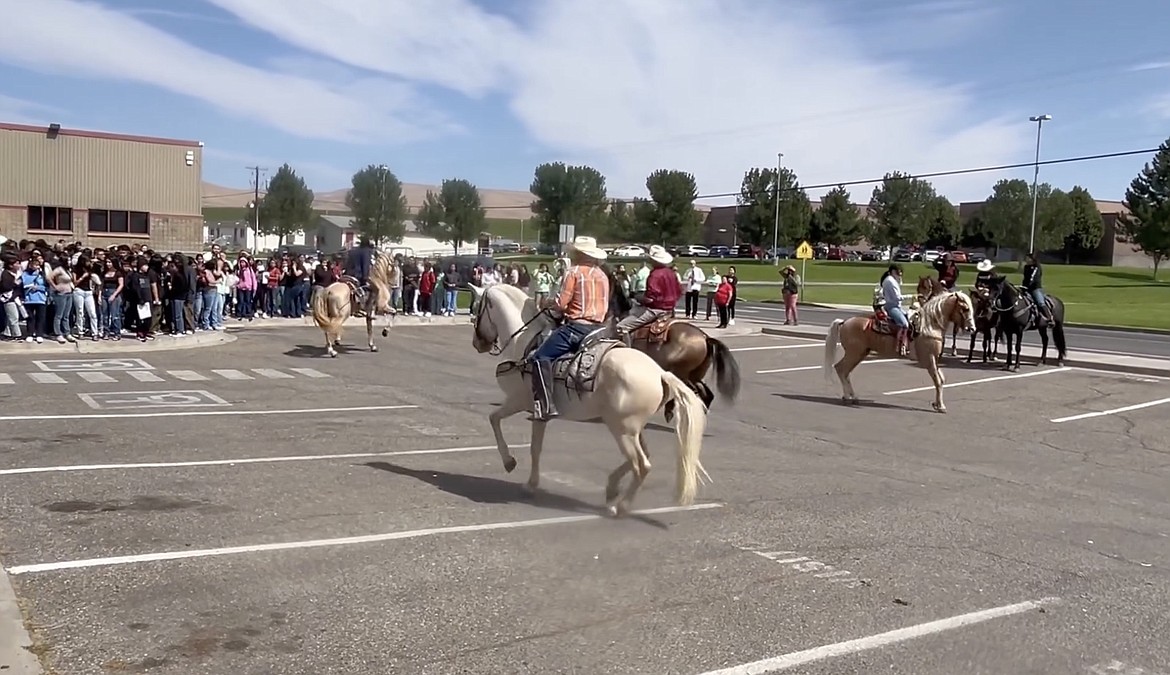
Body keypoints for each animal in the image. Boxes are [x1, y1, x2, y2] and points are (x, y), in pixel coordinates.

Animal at [467, 280, 706, 514]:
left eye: (476, 308)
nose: (477, 344)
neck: (524, 342)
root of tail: (660, 373)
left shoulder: (519, 401)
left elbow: (495, 420)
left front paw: (511, 464)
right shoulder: (538, 412)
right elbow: (534, 447)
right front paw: (530, 482)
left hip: (623, 430)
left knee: (641, 465)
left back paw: (620, 506)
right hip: (631, 429)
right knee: (643, 457)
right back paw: (611, 489)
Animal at [823, 287, 978, 411]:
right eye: (965, 308)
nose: (972, 329)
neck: (929, 325)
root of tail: (844, 322)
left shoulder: (934, 359)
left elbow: (942, 379)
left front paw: (936, 404)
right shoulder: (929, 359)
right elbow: (938, 381)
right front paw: (941, 406)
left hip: (860, 353)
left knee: (844, 371)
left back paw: (851, 396)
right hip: (854, 353)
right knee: (841, 369)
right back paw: (849, 397)